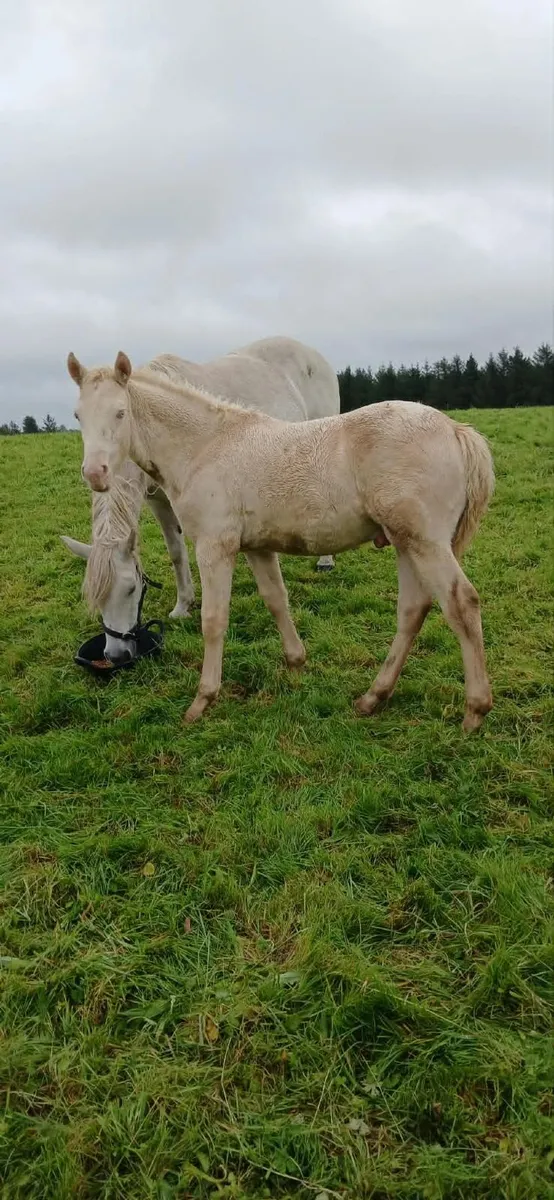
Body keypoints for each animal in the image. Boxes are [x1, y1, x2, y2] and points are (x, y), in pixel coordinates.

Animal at [61, 338, 340, 661]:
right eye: (78, 416)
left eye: (131, 589)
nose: (116, 655)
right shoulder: (158, 500)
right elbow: (176, 552)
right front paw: (183, 604)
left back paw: (325, 560)